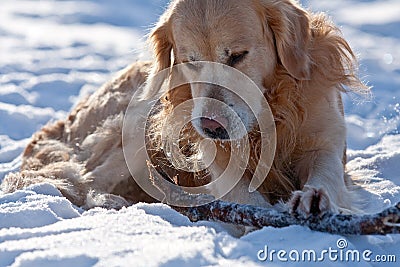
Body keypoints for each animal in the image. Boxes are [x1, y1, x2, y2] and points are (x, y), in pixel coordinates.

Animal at [2, 0, 366, 217]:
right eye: (192, 61)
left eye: (238, 56)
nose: (211, 127)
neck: (269, 116)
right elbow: (243, 196)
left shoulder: (326, 142)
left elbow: (326, 174)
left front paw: (314, 197)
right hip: (138, 124)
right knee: (86, 181)